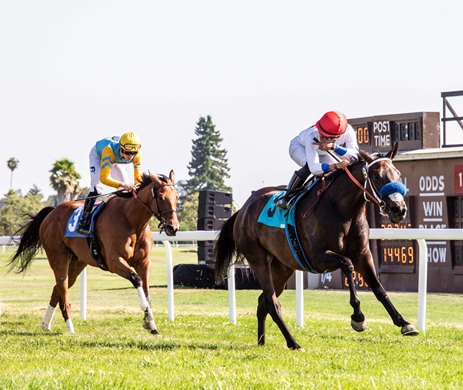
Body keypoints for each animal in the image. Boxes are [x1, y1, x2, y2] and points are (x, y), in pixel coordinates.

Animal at [9, 171, 179, 336]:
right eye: (161, 197)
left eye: (176, 197)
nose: (173, 227)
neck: (131, 220)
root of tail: (51, 214)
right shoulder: (114, 261)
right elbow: (136, 279)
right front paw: (148, 319)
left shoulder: (144, 263)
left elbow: (147, 291)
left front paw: (151, 324)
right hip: (58, 258)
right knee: (63, 290)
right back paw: (70, 328)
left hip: (77, 263)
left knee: (57, 289)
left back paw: (46, 324)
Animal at [216, 144, 422, 350]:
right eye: (377, 175)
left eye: (397, 173)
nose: (399, 209)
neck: (342, 211)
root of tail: (242, 210)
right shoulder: (318, 258)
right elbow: (347, 265)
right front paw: (358, 317)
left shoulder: (363, 254)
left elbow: (379, 288)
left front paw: (404, 323)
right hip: (259, 261)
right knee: (273, 304)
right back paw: (293, 342)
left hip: (282, 267)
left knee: (263, 301)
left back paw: (262, 341)